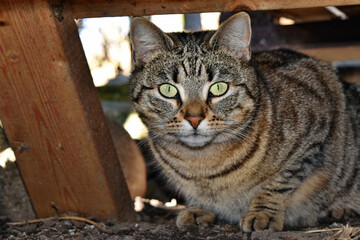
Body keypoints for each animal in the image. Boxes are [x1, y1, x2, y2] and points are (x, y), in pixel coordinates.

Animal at [129, 12, 360, 232]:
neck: (202, 166)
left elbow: (280, 181)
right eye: (168, 90)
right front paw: (198, 208)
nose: (194, 118)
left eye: (219, 88)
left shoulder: (316, 125)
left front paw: (263, 213)